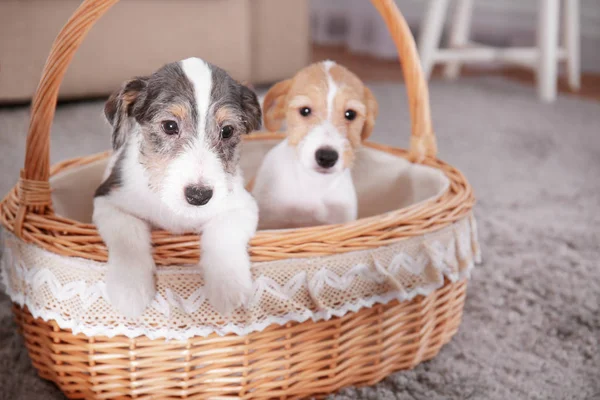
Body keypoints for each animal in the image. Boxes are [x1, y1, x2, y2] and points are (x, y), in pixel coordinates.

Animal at [93, 57, 260, 318]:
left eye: (227, 131)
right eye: (170, 126)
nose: (199, 196)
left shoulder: (242, 206)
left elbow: (223, 236)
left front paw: (227, 288)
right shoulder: (108, 201)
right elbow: (128, 237)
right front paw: (129, 289)